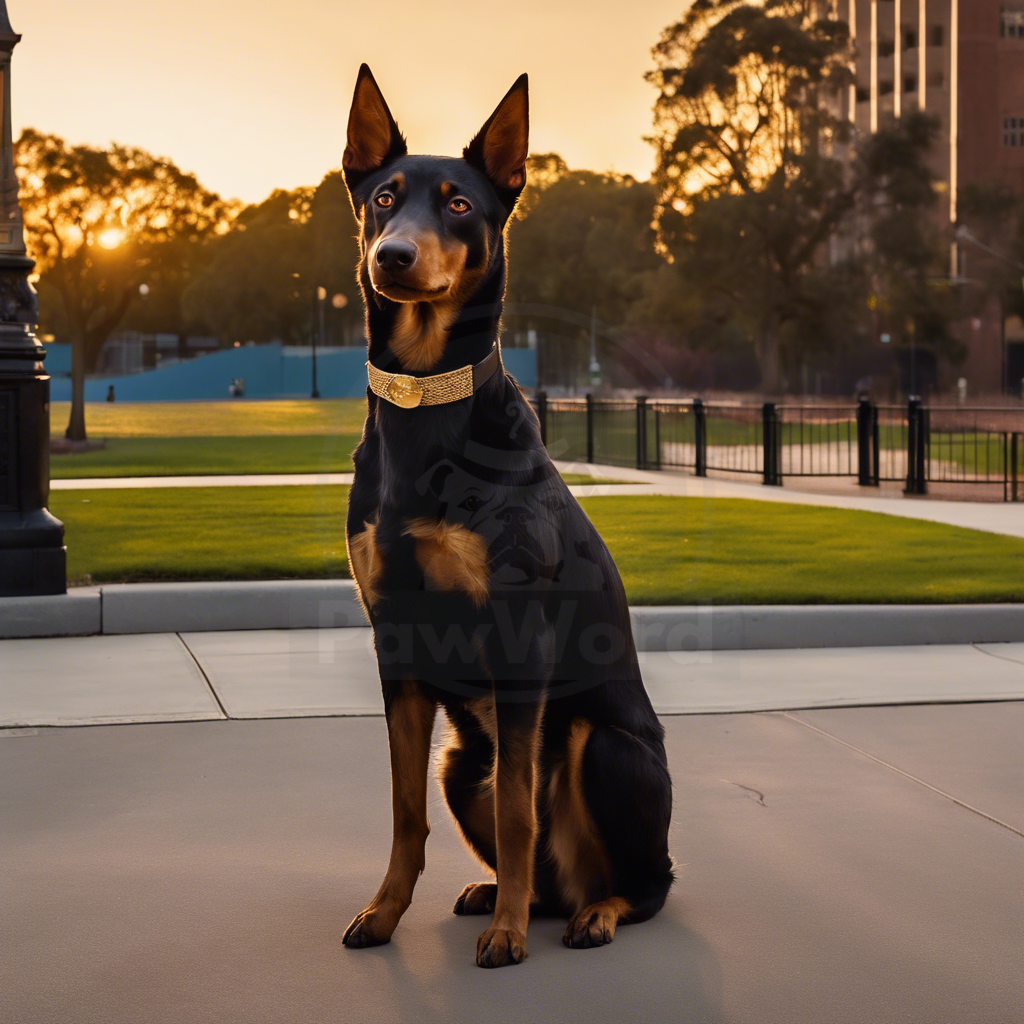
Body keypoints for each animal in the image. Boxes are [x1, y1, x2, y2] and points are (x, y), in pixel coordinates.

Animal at [337, 66, 671, 966]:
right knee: (547, 867)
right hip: (462, 762)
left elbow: (520, 810)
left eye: (458, 204)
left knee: (648, 883)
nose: (392, 256)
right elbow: (403, 811)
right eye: (384, 198)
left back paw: (588, 913)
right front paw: (383, 912)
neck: (425, 406)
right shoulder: (396, 637)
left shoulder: (520, 639)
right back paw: (512, 896)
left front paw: (509, 938)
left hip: (603, 745)